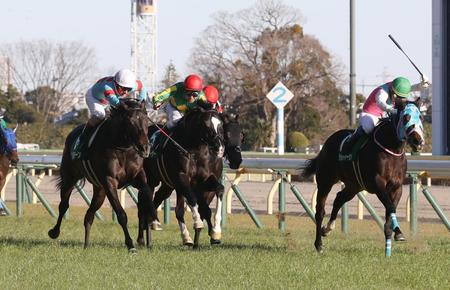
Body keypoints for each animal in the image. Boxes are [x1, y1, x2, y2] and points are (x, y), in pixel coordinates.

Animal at [48, 98, 156, 253]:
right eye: (130, 122)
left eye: (146, 120)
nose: (145, 148)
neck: (122, 148)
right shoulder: (109, 181)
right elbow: (121, 214)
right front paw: (130, 245)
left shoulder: (137, 177)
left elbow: (146, 194)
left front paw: (147, 235)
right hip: (70, 178)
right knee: (64, 205)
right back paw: (54, 232)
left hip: (100, 191)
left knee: (89, 214)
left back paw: (86, 245)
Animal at [142, 107, 229, 248]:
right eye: (206, 125)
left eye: (220, 125)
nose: (219, 147)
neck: (197, 152)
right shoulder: (182, 177)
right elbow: (191, 200)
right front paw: (197, 223)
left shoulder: (205, 180)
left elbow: (219, 190)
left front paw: (216, 232)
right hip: (151, 179)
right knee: (146, 204)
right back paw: (146, 237)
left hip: (168, 185)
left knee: (159, 199)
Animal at [302, 102, 426, 256]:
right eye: (406, 118)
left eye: (420, 117)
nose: (418, 141)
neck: (392, 151)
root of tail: (327, 143)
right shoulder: (378, 184)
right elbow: (390, 206)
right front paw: (398, 232)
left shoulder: (397, 187)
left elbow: (390, 210)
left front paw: (393, 238)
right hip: (325, 181)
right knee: (320, 211)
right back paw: (319, 244)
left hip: (354, 186)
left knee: (339, 198)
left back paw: (328, 229)